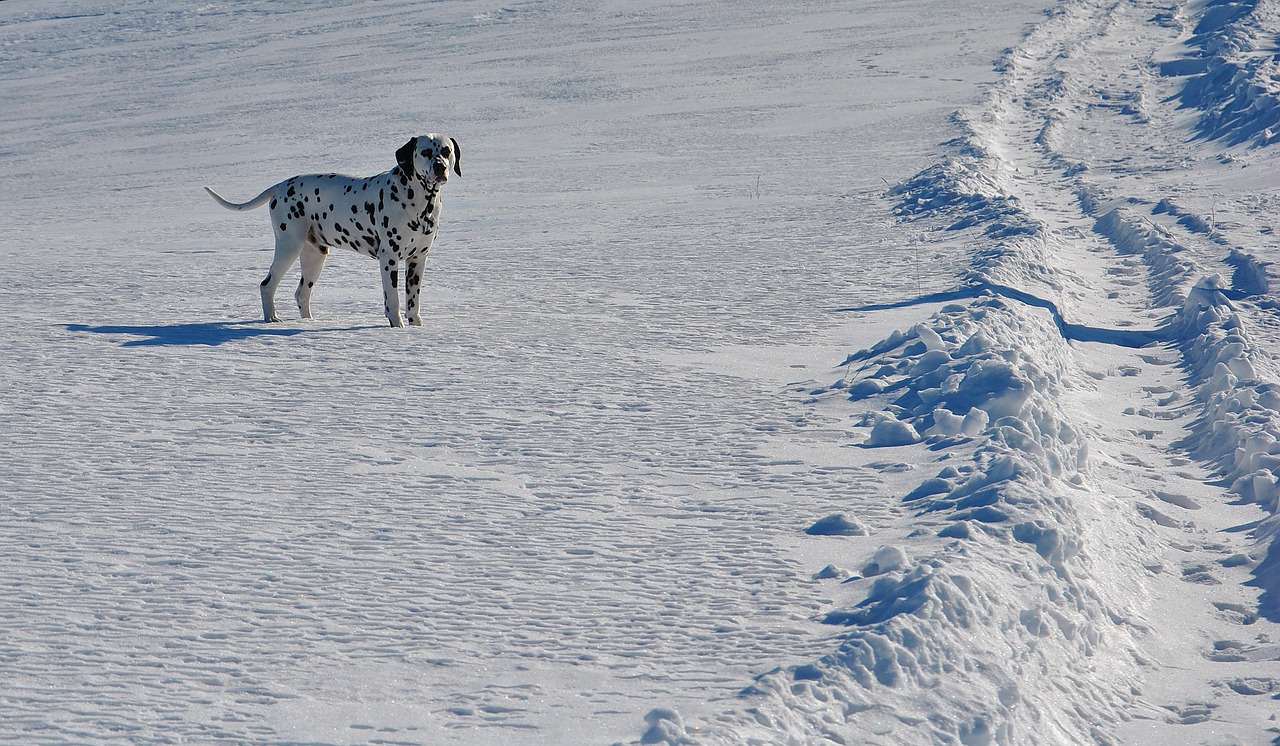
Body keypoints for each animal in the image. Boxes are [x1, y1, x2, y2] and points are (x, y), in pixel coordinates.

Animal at [199, 134, 460, 327]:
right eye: (425, 152)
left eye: (446, 151)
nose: (440, 167)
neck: (420, 201)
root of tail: (280, 186)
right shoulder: (389, 260)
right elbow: (393, 301)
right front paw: (398, 328)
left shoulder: (418, 260)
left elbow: (413, 302)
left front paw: (416, 328)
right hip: (289, 247)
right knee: (267, 285)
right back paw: (271, 318)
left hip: (314, 257)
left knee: (301, 294)